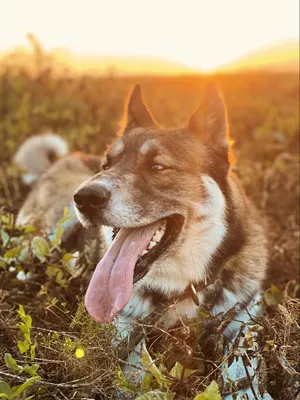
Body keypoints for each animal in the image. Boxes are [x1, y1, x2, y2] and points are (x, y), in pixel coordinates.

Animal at [74, 83, 270, 396]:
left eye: (157, 167)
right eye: (106, 165)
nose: (85, 198)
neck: (181, 289)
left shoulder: (243, 317)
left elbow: (242, 361)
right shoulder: (123, 326)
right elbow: (135, 368)